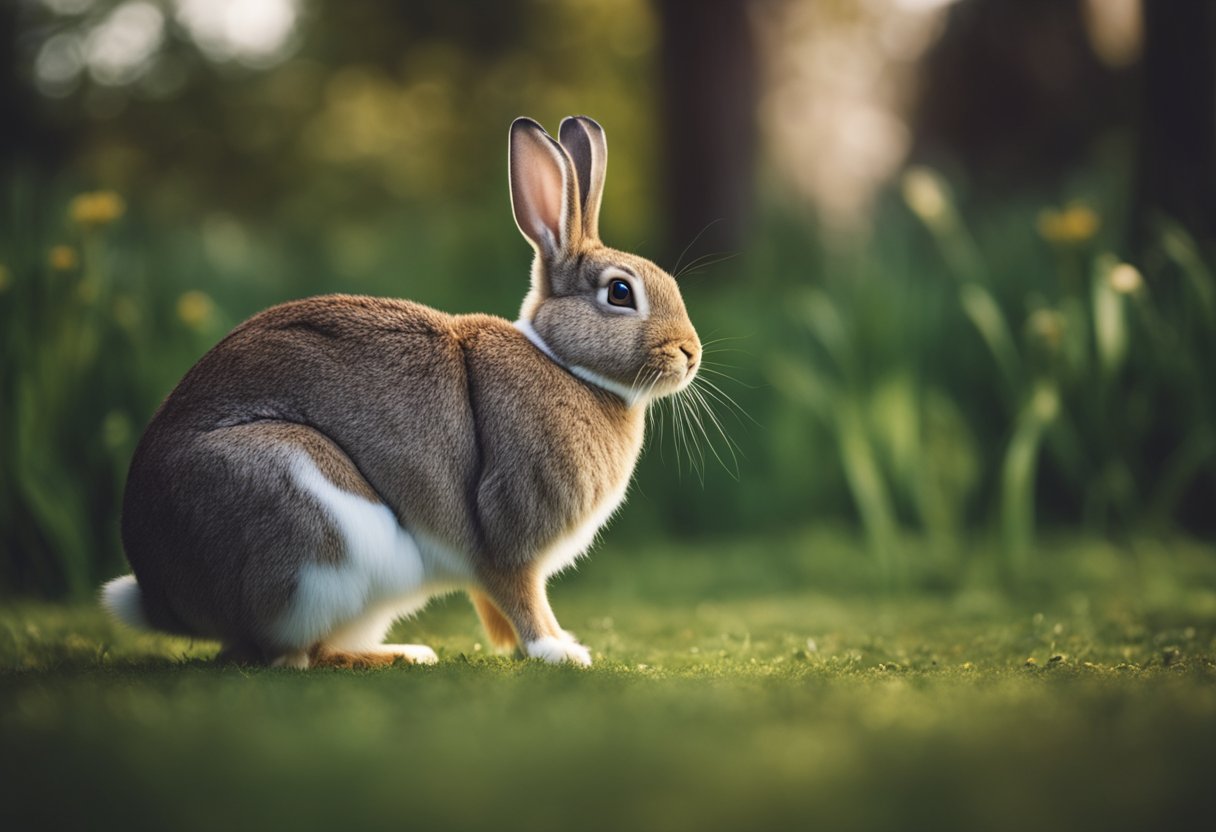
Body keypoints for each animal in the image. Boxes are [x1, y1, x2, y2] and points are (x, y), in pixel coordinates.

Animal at [103, 115, 705, 671]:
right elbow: (523, 598)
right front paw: (560, 651)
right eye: (620, 292)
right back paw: (394, 656)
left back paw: (407, 653)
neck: (565, 364)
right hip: (311, 532)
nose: (690, 353)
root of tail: (164, 598)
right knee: (289, 656)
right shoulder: (508, 536)